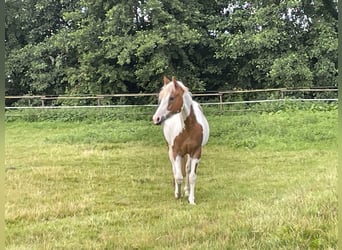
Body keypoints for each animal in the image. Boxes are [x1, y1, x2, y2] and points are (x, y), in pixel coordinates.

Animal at [152, 76, 208, 205]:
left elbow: (192, 176)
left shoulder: (196, 152)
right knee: (175, 169)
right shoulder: (176, 151)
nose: (156, 118)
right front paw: (177, 194)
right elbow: (178, 176)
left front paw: (191, 199)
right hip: (170, 149)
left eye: (171, 98)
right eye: (161, 98)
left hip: (187, 153)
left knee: (186, 169)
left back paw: (186, 191)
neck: (189, 128)